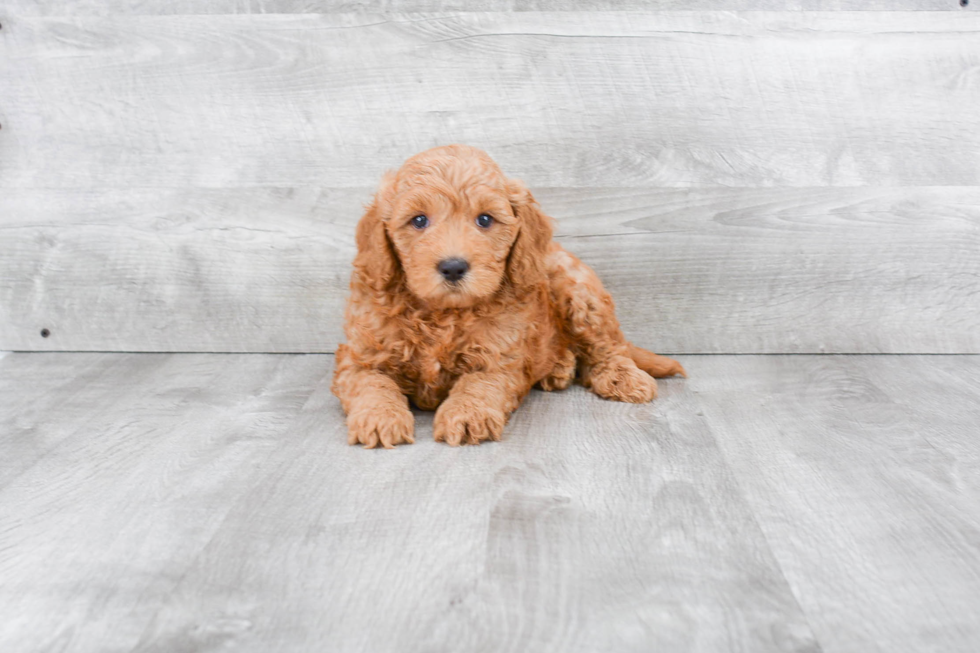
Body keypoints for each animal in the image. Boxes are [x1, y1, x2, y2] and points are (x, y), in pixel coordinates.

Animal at [334, 145, 684, 446]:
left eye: (485, 219)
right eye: (418, 220)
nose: (453, 267)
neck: (442, 314)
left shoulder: (498, 358)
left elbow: (479, 385)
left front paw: (468, 415)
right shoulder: (358, 356)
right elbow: (372, 383)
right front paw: (380, 418)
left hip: (578, 289)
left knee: (607, 346)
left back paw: (622, 377)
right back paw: (559, 367)